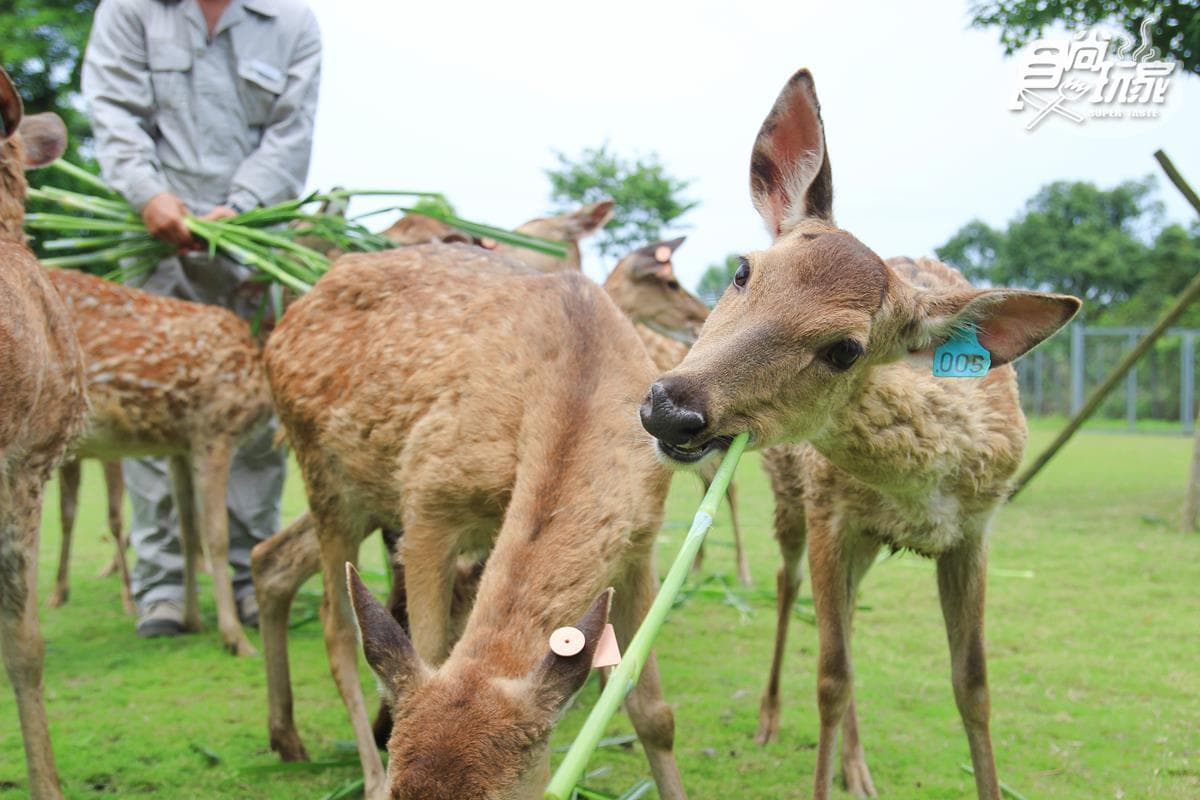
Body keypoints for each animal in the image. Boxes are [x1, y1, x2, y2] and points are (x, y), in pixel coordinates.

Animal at [42, 266, 273, 657]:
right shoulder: (213, 430)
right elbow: (216, 535)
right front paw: (235, 638)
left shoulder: (178, 447)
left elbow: (187, 531)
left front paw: (193, 621)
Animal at [257, 243, 688, 800]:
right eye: (399, 794)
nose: (385, 782)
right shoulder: (428, 506)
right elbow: (430, 648)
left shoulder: (641, 542)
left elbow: (653, 713)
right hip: (323, 473)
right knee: (336, 627)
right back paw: (357, 769)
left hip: (366, 494)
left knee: (272, 559)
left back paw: (285, 737)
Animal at [637, 69, 1081, 800]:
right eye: (742, 270)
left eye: (846, 349)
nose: (670, 407)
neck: (921, 491)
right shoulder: (830, 512)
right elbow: (831, 677)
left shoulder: (977, 529)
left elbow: (974, 685)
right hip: (793, 501)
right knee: (790, 589)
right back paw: (771, 718)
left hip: (863, 541)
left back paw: (857, 767)